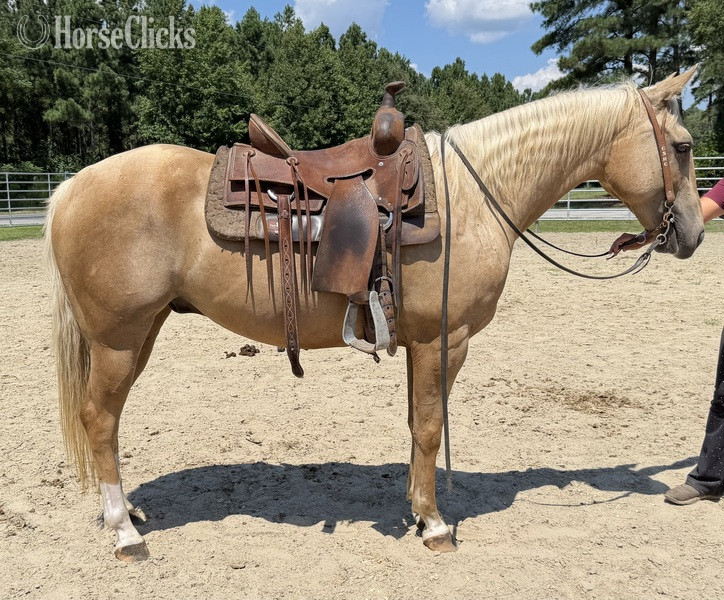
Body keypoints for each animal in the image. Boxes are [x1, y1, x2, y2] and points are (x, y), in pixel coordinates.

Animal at [45, 68, 703, 562]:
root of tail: (71, 185)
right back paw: (125, 533)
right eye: (683, 146)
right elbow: (432, 428)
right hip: (118, 339)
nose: (694, 234)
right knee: (98, 419)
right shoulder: (445, 340)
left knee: (106, 420)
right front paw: (435, 525)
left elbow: (416, 426)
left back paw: (127, 511)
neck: (475, 195)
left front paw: (416, 510)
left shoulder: (422, 344)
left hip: (140, 334)